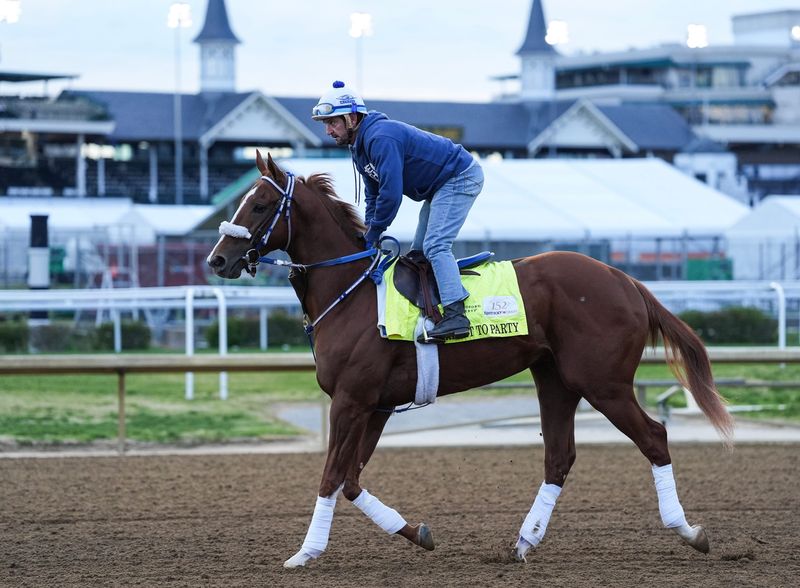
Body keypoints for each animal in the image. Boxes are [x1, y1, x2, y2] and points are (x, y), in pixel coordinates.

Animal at [207, 152, 734, 567]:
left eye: (259, 204)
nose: (217, 260)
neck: (351, 290)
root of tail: (625, 280)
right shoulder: (375, 405)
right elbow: (351, 480)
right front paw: (415, 532)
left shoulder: (351, 400)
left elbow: (331, 476)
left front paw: (305, 552)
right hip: (555, 379)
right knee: (559, 457)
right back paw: (524, 542)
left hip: (603, 383)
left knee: (654, 437)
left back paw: (689, 531)